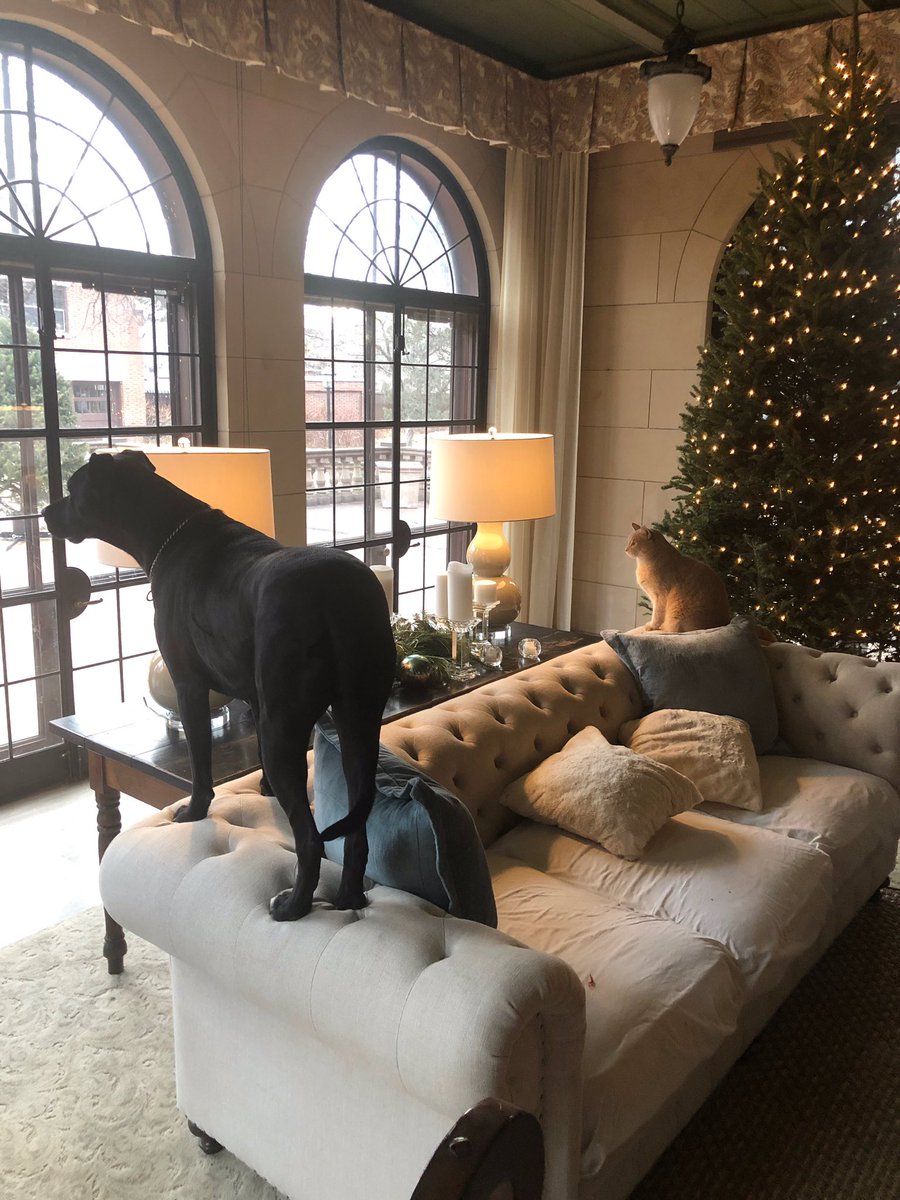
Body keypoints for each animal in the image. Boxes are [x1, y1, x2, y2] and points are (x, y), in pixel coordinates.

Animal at [43, 450, 396, 921]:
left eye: (73, 488)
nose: (46, 513)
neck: (167, 531)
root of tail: (339, 596)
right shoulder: (256, 700)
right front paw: (265, 789)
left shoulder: (190, 686)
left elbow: (199, 762)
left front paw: (193, 810)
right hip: (358, 721)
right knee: (357, 830)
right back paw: (350, 898)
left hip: (289, 724)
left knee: (310, 839)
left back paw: (294, 905)